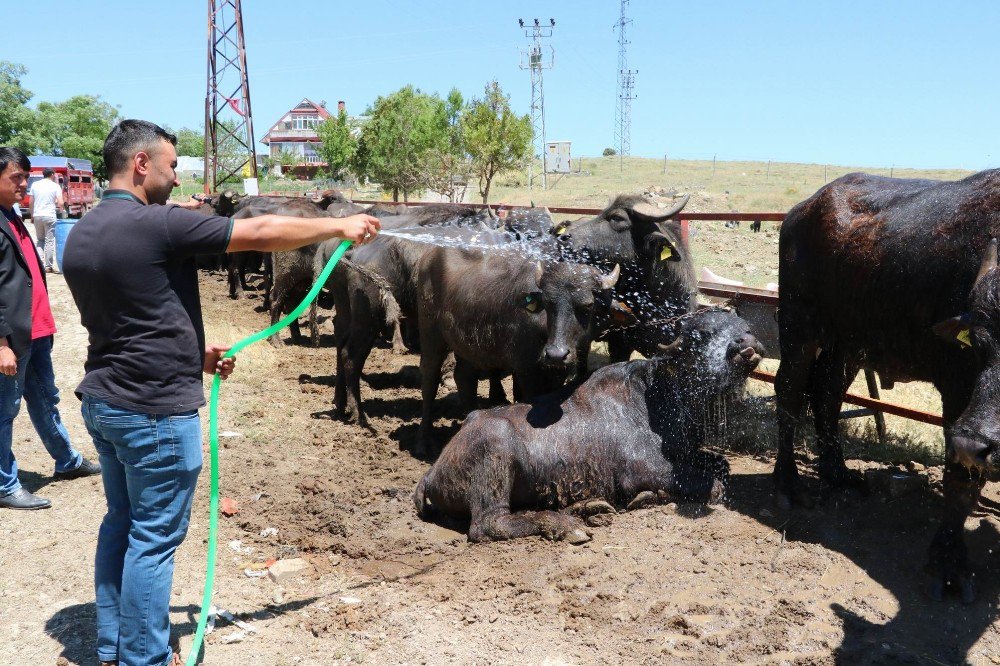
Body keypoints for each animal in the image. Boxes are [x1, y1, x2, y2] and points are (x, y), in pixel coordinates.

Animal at [414, 306, 764, 540]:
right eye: (701, 335)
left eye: (745, 325)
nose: (745, 343)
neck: (657, 396)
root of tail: (432, 472)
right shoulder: (643, 468)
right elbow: (710, 485)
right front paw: (647, 496)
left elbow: (720, 465)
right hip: (495, 447)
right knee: (488, 524)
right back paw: (565, 525)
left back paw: (589, 508)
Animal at [772, 167, 1000, 600]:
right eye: (979, 345)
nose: (976, 442)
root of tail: (801, 211)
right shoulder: (958, 386)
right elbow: (961, 478)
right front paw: (949, 563)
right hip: (799, 326)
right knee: (789, 393)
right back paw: (790, 484)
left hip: (848, 343)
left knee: (827, 393)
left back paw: (838, 473)